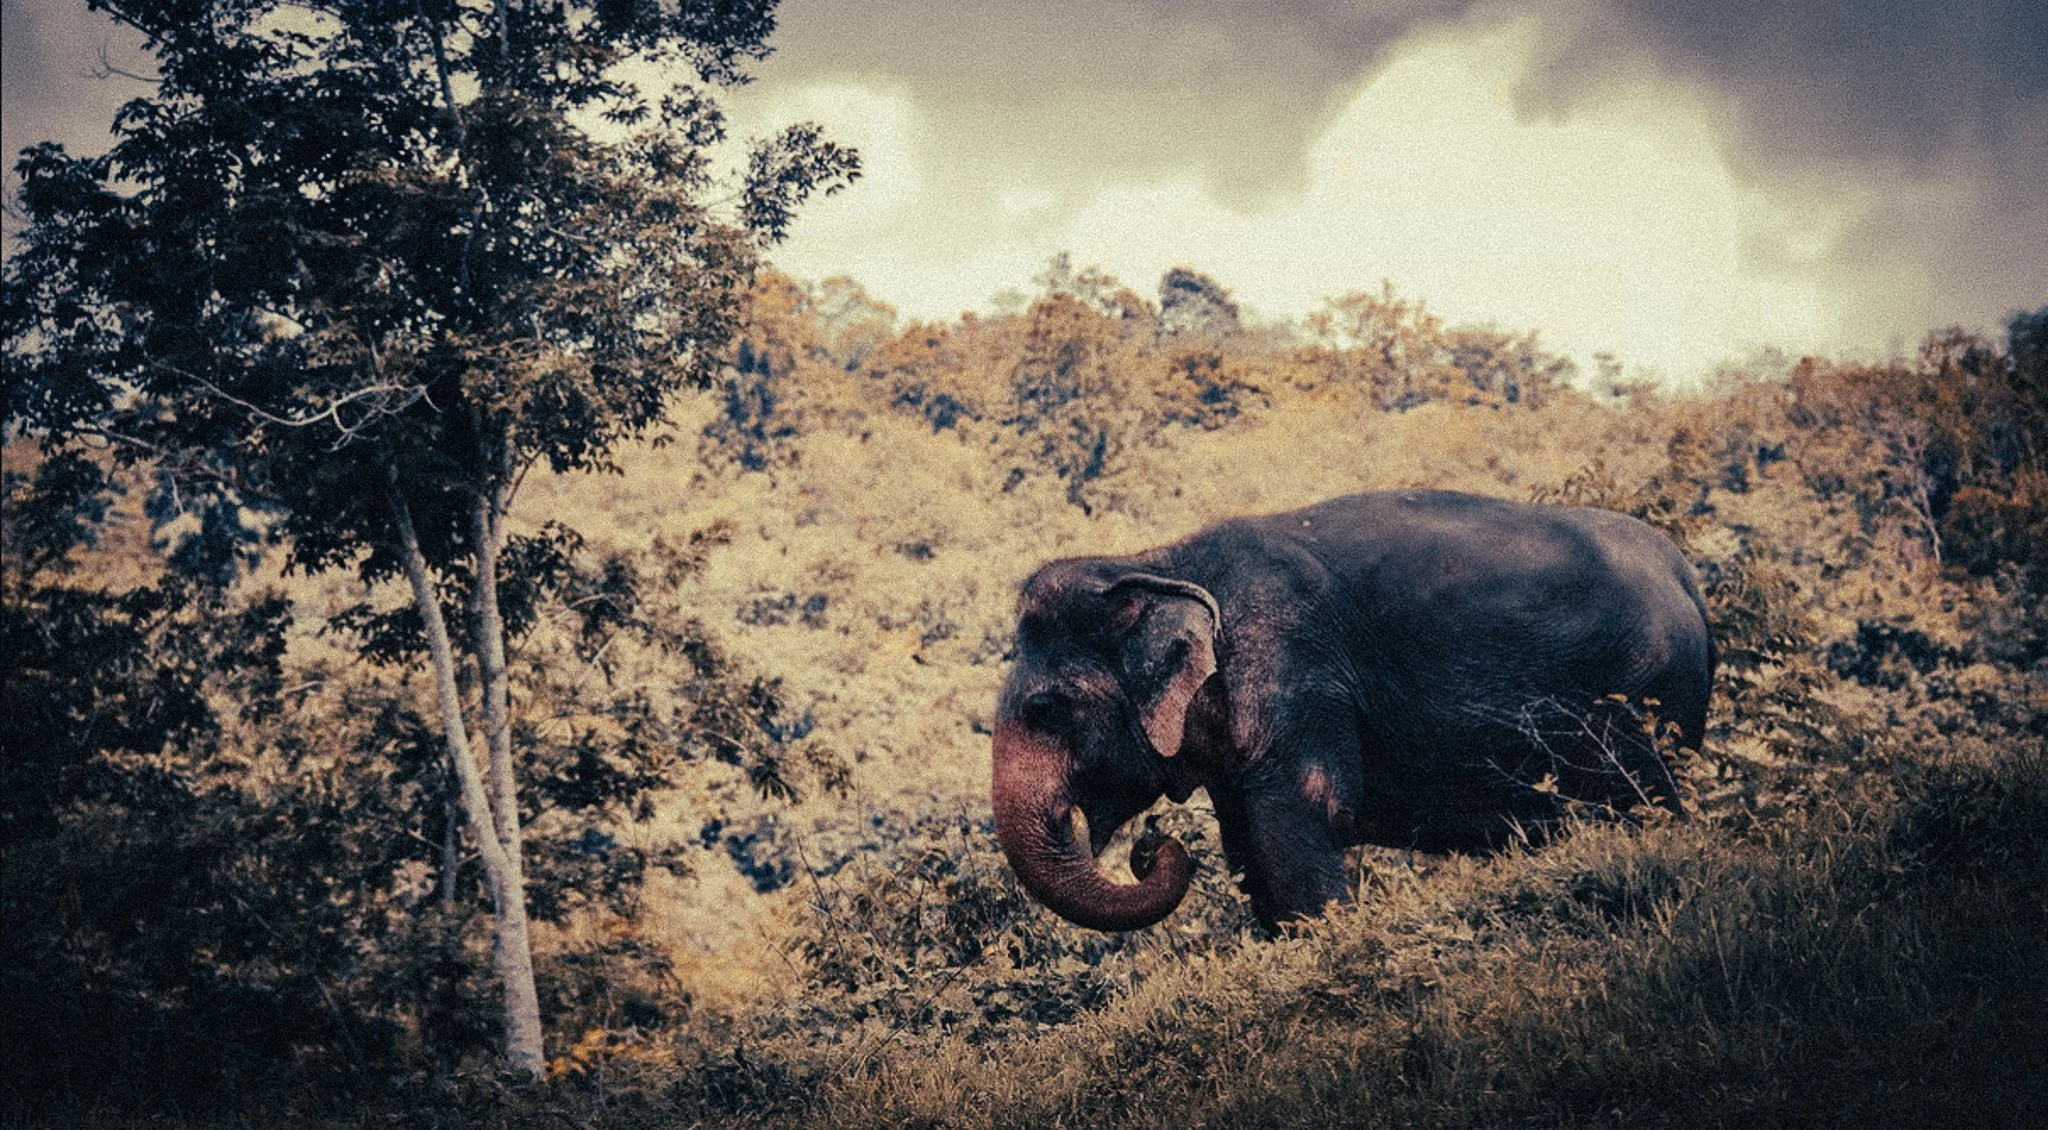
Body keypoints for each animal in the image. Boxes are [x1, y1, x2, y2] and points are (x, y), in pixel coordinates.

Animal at [991, 489, 1714, 933]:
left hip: (1641, 696)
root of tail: (1684, 572)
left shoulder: (1295, 674)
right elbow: (1247, 846)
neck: (1156, 560)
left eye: (1045, 707)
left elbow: (1298, 822)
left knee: (1644, 802)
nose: (1151, 845)